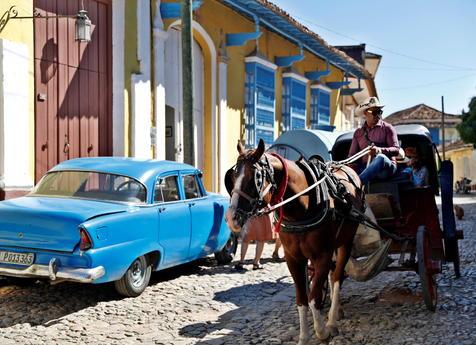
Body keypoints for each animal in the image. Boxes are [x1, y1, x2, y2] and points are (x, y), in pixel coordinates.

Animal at [225, 138, 362, 342]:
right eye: (234, 176)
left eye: (255, 177)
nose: (231, 217)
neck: (304, 206)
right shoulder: (293, 258)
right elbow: (302, 299)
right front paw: (304, 337)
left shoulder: (323, 255)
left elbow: (313, 298)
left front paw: (321, 331)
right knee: (332, 275)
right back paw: (336, 311)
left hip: (346, 242)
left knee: (337, 276)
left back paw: (331, 321)